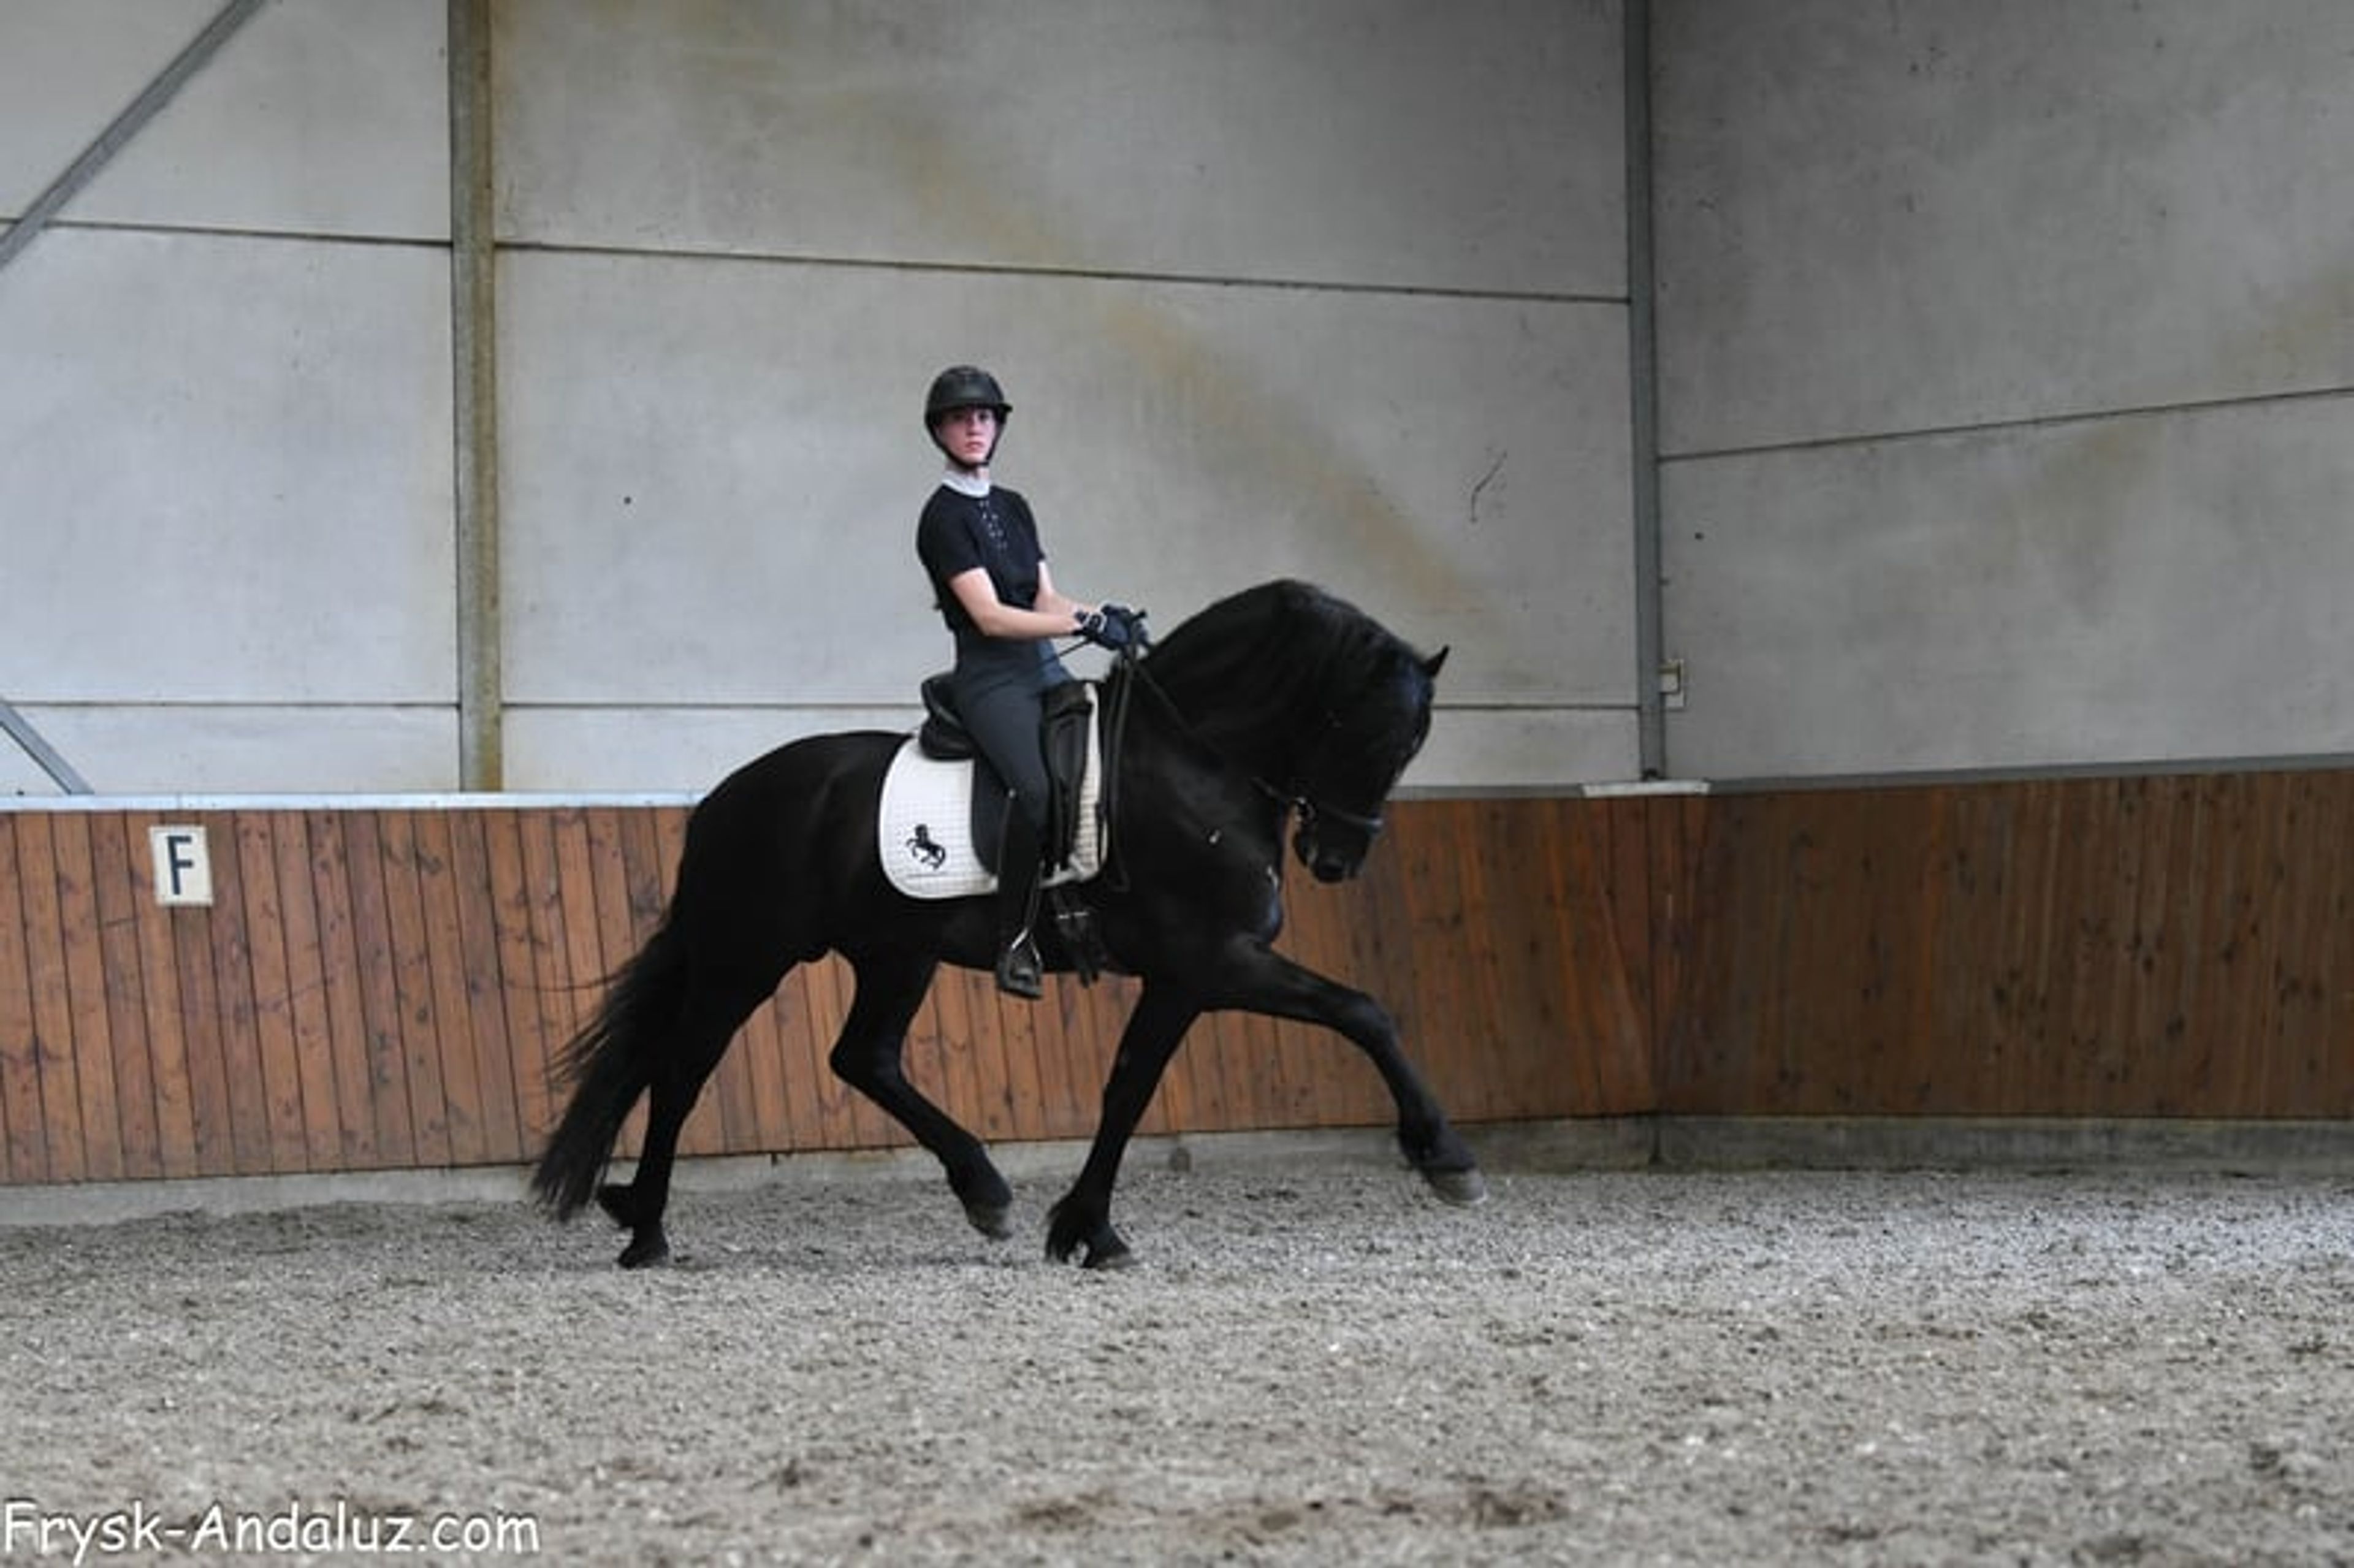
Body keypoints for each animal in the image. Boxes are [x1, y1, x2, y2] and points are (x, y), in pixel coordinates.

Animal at [529, 578, 1488, 1269]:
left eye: (1411, 746)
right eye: (1366, 733)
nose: (1338, 859)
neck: (1192, 761)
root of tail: (724, 797)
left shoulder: (1188, 976)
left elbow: (1130, 1086)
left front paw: (1085, 1229)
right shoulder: (1216, 961)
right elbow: (1363, 1011)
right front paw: (1446, 1156)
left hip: (896, 952)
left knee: (863, 1057)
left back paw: (982, 1188)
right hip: (746, 955)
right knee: (682, 1070)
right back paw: (647, 1231)